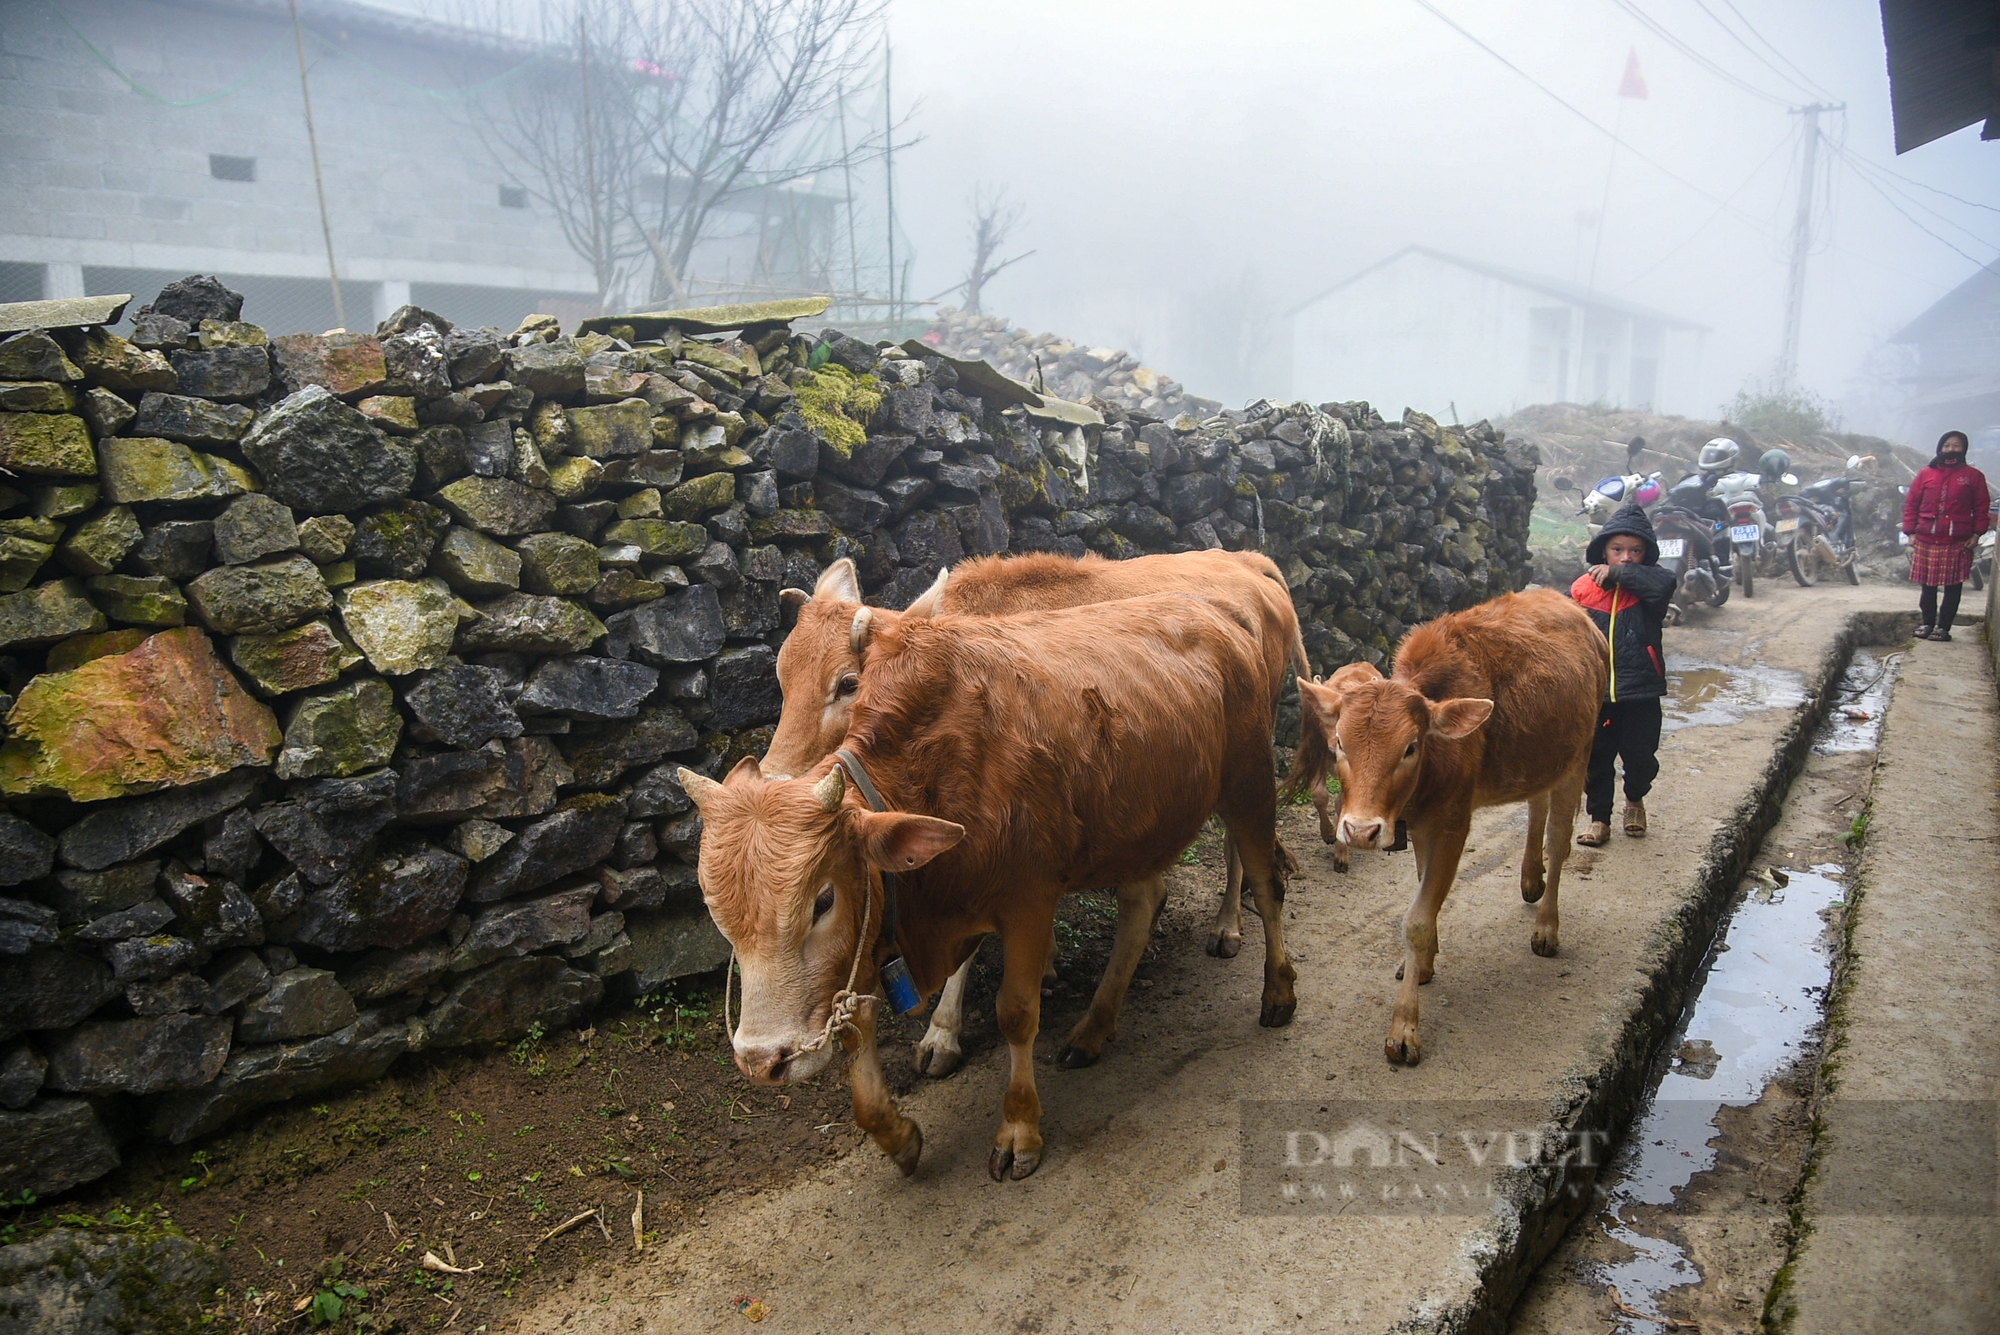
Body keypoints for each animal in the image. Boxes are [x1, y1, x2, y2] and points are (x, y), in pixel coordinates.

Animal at [680, 595, 1296, 1175]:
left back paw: (1278, 993)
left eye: (823, 900)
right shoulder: (878, 932)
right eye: (716, 913)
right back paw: (1093, 1029)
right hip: (1139, 822)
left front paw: (1019, 1129)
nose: (763, 1060)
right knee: (1142, 906)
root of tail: (1217, 613)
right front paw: (896, 1135)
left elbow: (1016, 1013)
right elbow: (856, 1028)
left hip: (1250, 782)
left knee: (1267, 887)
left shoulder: (1028, 902)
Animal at [760, 543, 1312, 1071]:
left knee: (1239, 844)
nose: (772, 778)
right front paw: (1041, 967)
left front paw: (942, 1034)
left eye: (849, 683)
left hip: (1247, 753)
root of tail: (1247, 562)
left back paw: (1228, 928)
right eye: (781, 677)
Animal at [1296, 587, 1608, 1071]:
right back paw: (1530, 878)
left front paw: (1404, 1028)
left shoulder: (1452, 824)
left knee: (1559, 843)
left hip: (1579, 754)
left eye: (1410, 747)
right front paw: (1423, 966)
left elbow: (1417, 920)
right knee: (1536, 804)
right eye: (1340, 743)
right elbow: (1423, 888)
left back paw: (1546, 925)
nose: (1361, 830)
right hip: (1541, 757)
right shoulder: (1422, 825)